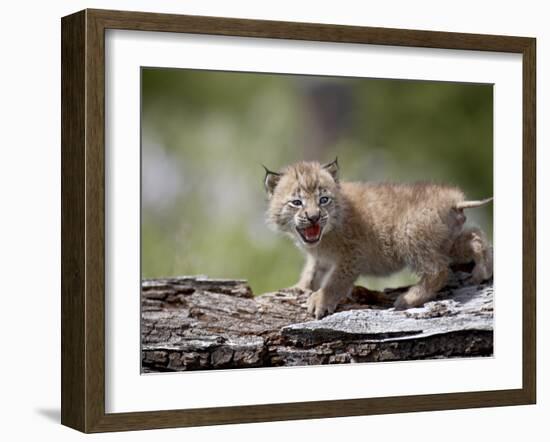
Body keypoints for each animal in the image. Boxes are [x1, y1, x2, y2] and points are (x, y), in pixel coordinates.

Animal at [264, 161, 496, 320]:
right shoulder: (321, 257)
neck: (324, 236)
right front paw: (299, 288)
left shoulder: (352, 255)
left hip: (409, 235)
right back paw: (483, 271)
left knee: (439, 270)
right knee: (476, 236)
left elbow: (336, 280)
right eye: (296, 202)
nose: (313, 217)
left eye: (324, 200)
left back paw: (408, 299)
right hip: (445, 241)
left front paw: (321, 300)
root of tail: (454, 200)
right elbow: (312, 271)